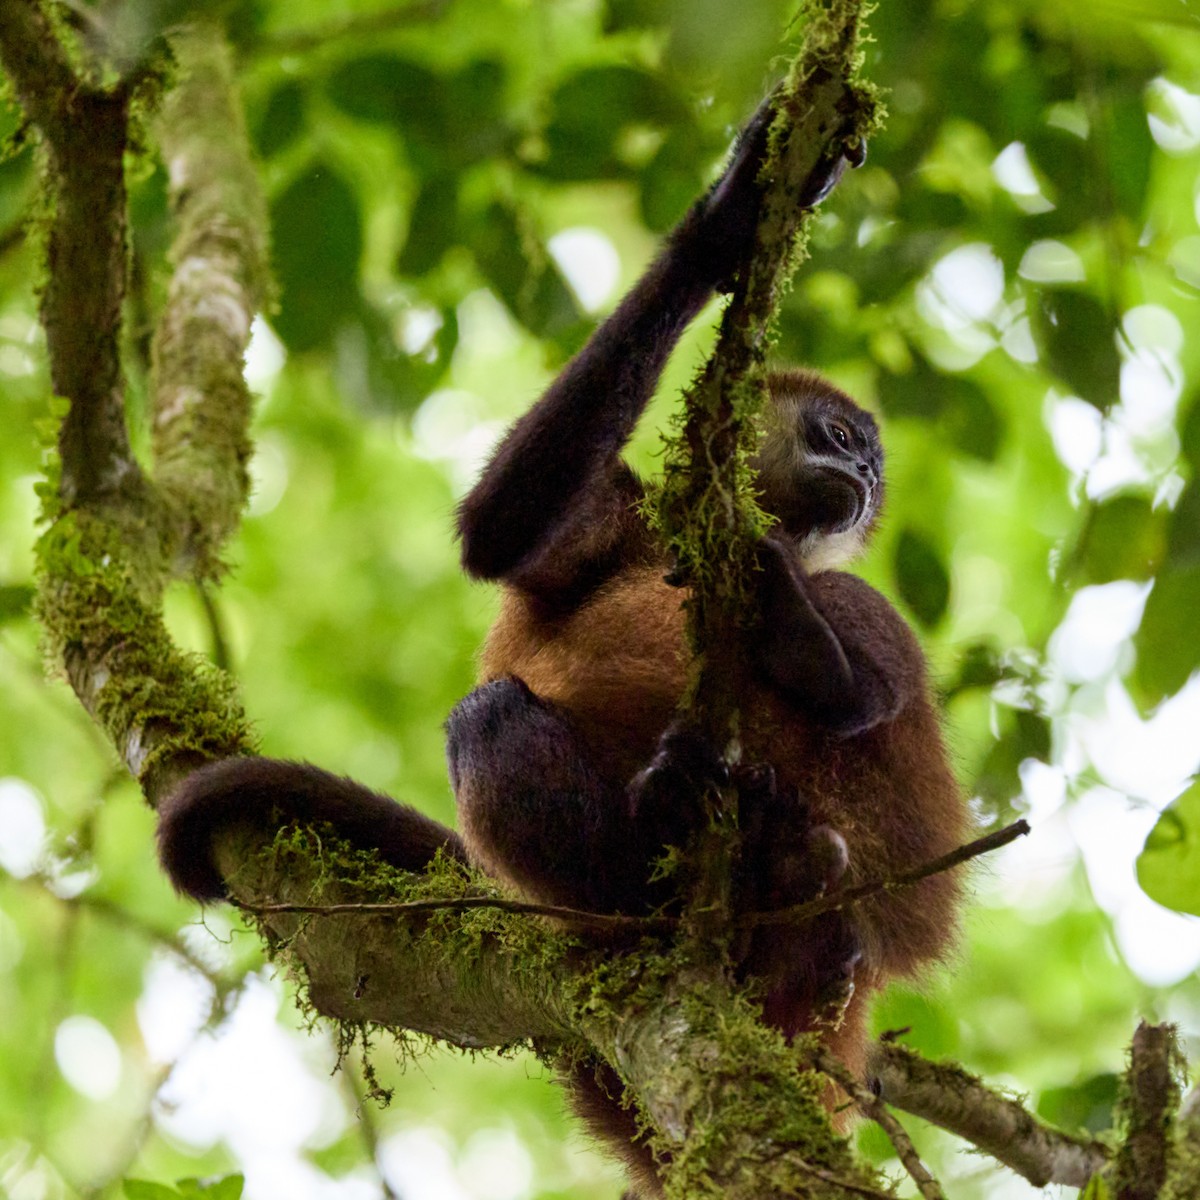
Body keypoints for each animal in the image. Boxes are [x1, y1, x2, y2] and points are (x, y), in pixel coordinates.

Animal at [156, 96, 967, 1200]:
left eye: (874, 464)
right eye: (841, 437)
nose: (868, 478)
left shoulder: (846, 587)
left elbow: (852, 692)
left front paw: (774, 597)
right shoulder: (627, 512)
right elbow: (499, 532)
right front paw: (726, 217)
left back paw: (792, 858)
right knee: (490, 718)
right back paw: (708, 857)